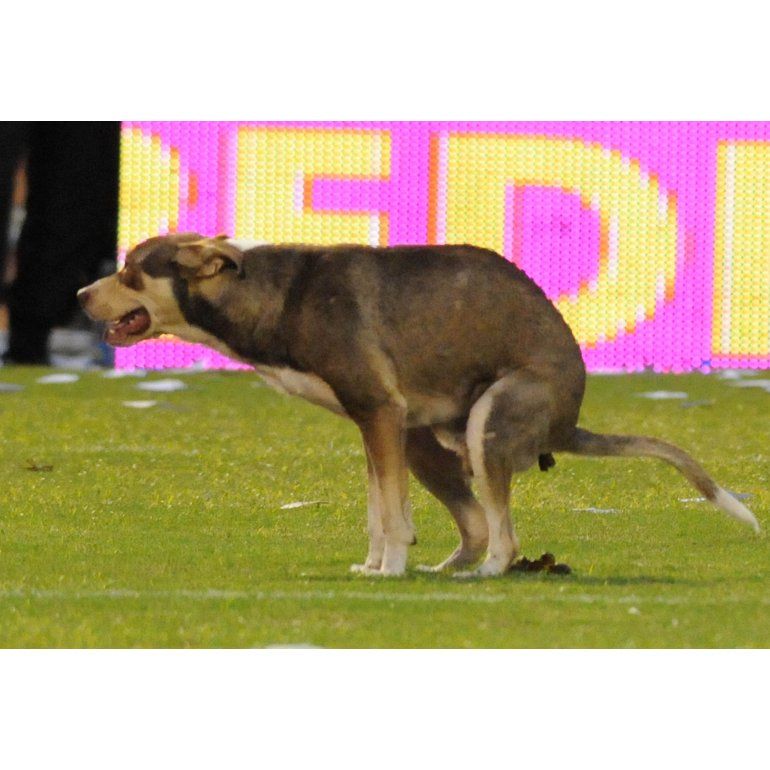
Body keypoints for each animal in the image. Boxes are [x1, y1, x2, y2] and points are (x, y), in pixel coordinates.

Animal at [78, 234, 760, 576]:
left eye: (131, 273)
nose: (81, 295)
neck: (266, 296)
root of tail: (568, 423)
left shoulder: (379, 413)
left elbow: (391, 516)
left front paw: (391, 571)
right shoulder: (375, 425)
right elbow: (378, 512)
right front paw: (374, 569)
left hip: (488, 424)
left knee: (503, 536)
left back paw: (485, 575)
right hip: (428, 439)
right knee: (479, 524)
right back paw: (449, 570)